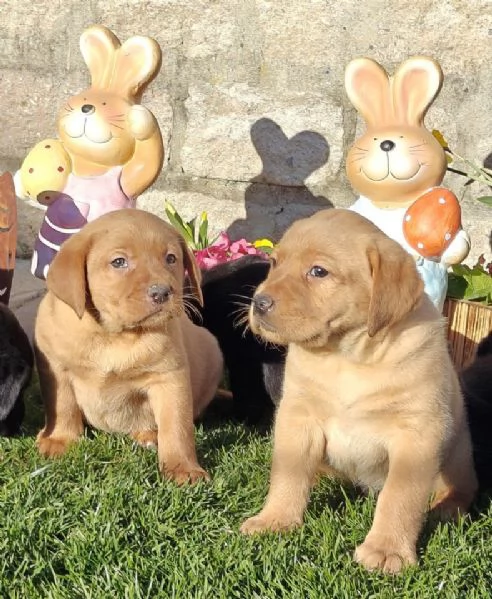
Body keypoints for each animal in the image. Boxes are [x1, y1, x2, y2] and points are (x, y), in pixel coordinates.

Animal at [35, 209, 224, 486]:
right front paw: (60, 439)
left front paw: (182, 467)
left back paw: (148, 435)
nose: (162, 292)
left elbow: (176, 427)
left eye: (170, 258)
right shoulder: (56, 369)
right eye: (119, 262)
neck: (115, 335)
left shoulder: (170, 378)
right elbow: (62, 406)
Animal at [240, 209, 478, 576]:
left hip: (458, 453)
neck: (347, 356)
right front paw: (275, 519)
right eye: (275, 262)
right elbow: (288, 474)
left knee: (463, 487)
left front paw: (387, 549)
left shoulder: (418, 432)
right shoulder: (298, 417)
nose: (258, 302)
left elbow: (399, 497)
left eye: (318, 271)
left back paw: (447, 507)